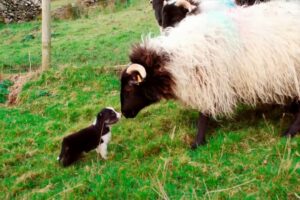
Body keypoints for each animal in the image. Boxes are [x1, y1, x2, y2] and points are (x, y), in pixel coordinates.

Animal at [121, 0, 300, 148]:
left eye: (129, 88)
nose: (124, 113)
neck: (175, 60)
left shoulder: (208, 82)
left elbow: (203, 114)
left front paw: (198, 142)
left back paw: (289, 132)